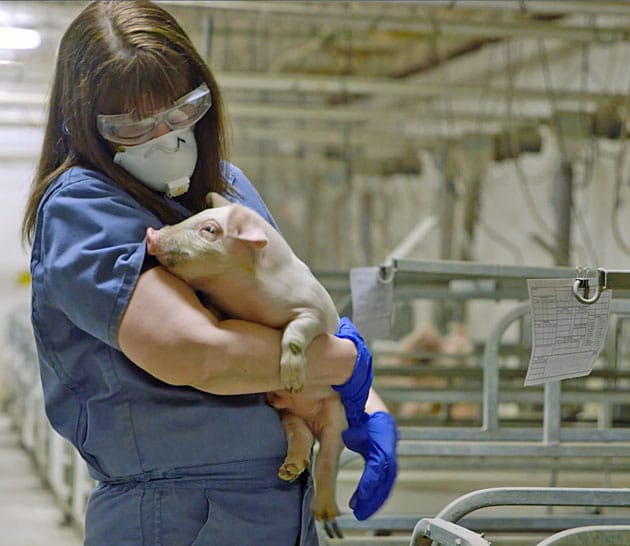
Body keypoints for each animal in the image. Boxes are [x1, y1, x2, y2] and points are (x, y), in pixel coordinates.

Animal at [146, 191, 348, 520]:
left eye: (210, 229)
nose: (152, 233)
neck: (242, 293)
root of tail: (309, 414)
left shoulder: (314, 310)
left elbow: (295, 334)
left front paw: (292, 381)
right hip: (288, 415)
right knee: (301, 437)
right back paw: (288, 470)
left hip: (336, 414)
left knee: (329, 457)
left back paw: (326, 514)